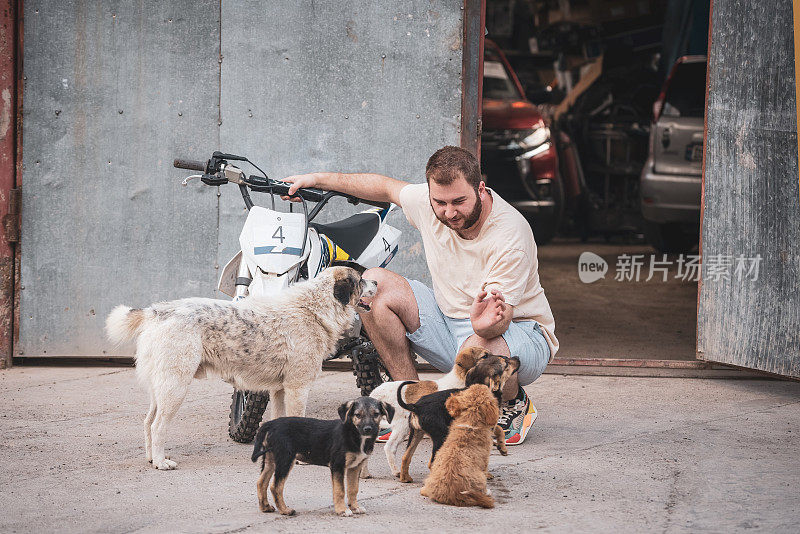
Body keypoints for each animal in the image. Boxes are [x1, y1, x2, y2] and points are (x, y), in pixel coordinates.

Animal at [105, 266, 376, 468]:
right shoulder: (297, 387)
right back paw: (161, 462)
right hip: (175, 387)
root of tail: (157, 311)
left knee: (147, 422)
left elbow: (281, 420)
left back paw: (152, 458)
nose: (375, 281)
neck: (315, 307)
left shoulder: (279, 390)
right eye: (360, 280)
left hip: (160, 388)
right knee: (157, 425)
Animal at [248, 398, 390, 520]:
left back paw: (265, 507)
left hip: (270, 459)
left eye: (376, 414)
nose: (368, 429)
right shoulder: (337, 465)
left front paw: (355, 507)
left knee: (261, 482)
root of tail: (270, 424)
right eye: (358, 415)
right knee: (275, 486)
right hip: (285, 458)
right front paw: (342, 510)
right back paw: (285, 510)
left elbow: (353, 489)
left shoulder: (355, 467)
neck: (354, 434)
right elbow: (340, 490)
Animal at [396, 354, 520, 484]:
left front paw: (502, 448)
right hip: (441, 436)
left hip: (416, 433)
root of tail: (416, 406)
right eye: (506, 363)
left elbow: (500, 429)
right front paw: (486, 474)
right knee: (431, 462)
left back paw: (405, 478)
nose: (517, 357)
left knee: (406, 457)